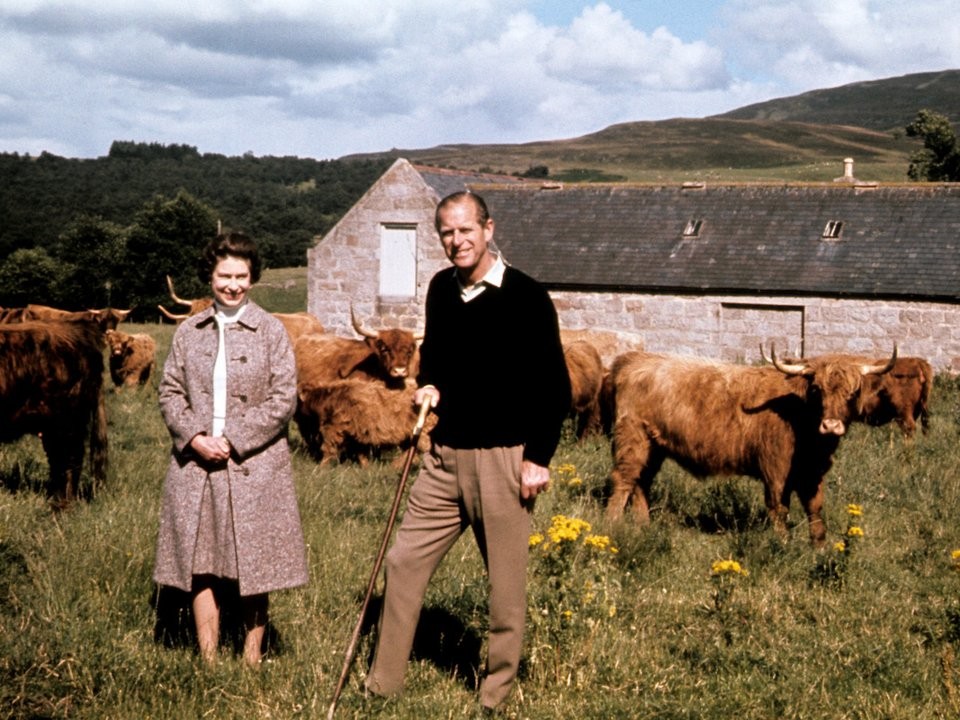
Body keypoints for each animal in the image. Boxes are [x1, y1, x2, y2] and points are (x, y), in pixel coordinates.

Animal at [294, 380, 436, 464]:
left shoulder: (333, 428)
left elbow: (328, 449)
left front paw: (321, 468)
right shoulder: (356, 433)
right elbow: (361, 454)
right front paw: (367, 468)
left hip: (423, 433)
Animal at [612, 344, 896, 544]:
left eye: (853, 392)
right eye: (817, 390)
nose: (831, 425)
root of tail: (635, 359)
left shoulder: (812, 473)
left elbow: (815, 509)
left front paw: (819, 548)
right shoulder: (775, 470)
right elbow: (779, 508)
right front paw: (783, 545)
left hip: (653, 447)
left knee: (641, 482)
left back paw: (643, 525)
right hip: (632, 439)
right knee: (623, 480)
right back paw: (611, 526)